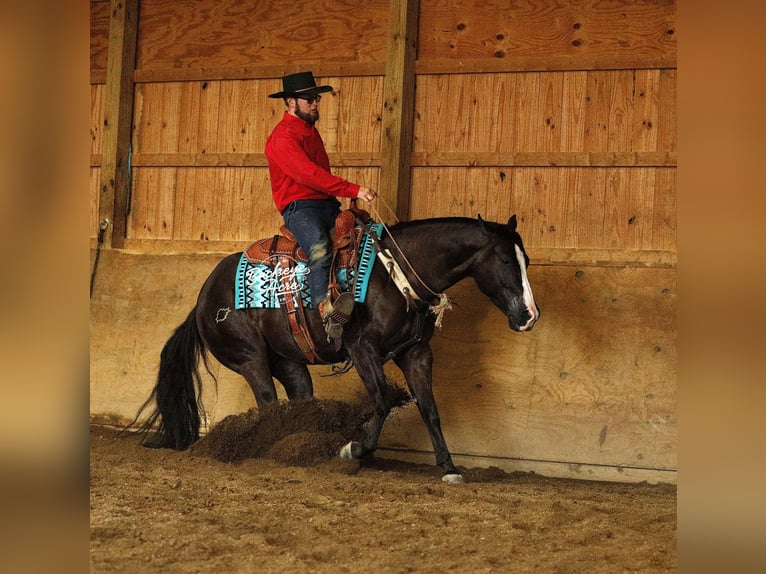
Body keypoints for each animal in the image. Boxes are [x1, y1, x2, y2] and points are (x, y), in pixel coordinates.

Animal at [134, 214, 540, 483]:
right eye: (506, 259)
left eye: (527, 260)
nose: (529, 315)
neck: (394, 275)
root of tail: (202, 299)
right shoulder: (362, 350)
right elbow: (382, 400)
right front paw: (353, 450)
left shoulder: (416, 353)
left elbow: (430, 409)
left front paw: (449, 467)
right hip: (251, 359)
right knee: (268, 404)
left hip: (290, 365)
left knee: (297, 402)